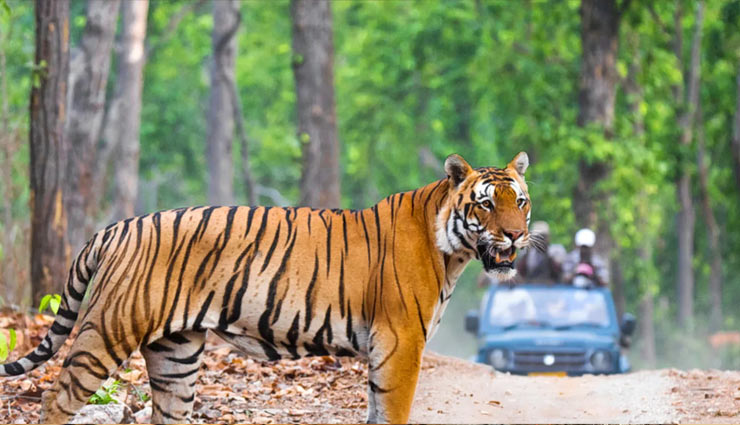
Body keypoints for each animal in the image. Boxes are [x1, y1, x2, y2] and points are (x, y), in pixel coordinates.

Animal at [1, 152, 532, 424]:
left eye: (520, 201)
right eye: (486, 204)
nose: (515, 235)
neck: (451, 250)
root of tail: (116, 227)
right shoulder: (400, 343)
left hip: (176, 355)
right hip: (108, 330)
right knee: (56, 400)